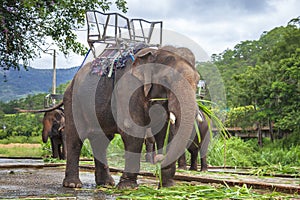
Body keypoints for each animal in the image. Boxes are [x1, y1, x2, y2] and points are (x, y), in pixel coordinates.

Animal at [62, 44, 200, 189]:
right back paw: (73, 184)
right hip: (72, 101)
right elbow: (132, 129)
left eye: (197, 82)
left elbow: (166, 132)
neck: (156, 52)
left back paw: (106, 183)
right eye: (165, 80)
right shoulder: (128, 88)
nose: (158, 159)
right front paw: (128, 187)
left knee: (102, 141)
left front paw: (168, 186)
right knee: (75, 138)